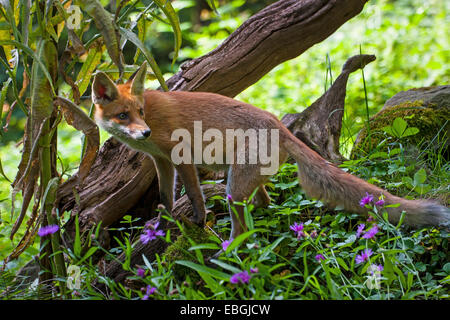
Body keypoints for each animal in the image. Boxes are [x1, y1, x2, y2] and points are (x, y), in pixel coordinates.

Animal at [91, 62, 446, 238]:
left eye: (140, 112)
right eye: (123, 115)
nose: (145, 131)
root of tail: (281, 125)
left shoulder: (180, 155)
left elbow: (192, 194)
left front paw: (198, 220)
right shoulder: (161, 160)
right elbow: (166, 195)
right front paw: (163, 222)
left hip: (235, 184)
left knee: (244, 226)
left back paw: (227, 253)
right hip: (242, 180)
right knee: (264, 203)